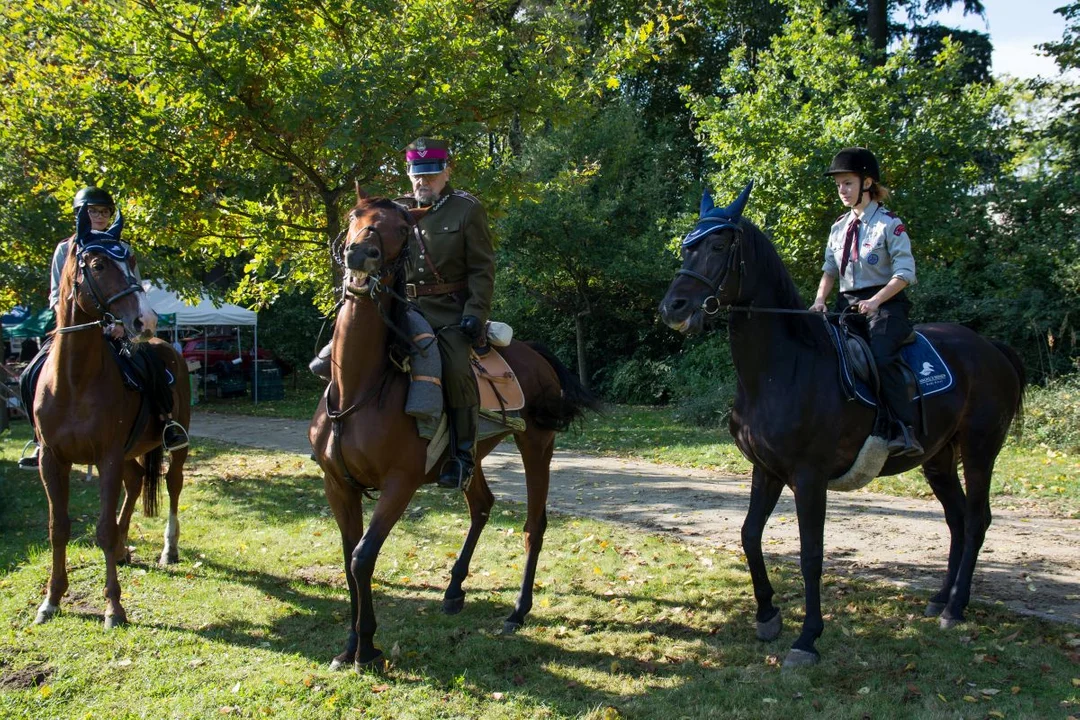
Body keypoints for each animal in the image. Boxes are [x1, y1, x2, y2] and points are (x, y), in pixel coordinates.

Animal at [31, 205, 190, 626]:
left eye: (131, 261)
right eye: (99, 264)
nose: (144, 321)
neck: (74, 381)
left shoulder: (107, 457)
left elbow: (101, 528)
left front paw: (113, 607)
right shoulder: (52, 460)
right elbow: (58, 527)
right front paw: (51, 599)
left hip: (173, 446)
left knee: (172, 484)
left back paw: (167, 549)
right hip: (130, 452)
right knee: (134, 484)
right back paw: (121, 549)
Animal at [308, 194, 600, 673]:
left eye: (401, 229)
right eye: (354, 217)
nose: (360, 254)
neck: (360, 386)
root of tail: (531, 351)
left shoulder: (400, 485)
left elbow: (362, 557)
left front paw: (367, 648)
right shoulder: (337, 485)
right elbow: (348, 557)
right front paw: (349, 645)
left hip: (537, 444)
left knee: (533, 525)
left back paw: (518, 610)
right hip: (473, 454)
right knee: (481, 504)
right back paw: (453, 590)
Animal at [652, 184, 1023, 669]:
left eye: (717, 246)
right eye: (686, 247)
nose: (672, 308)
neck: (783, 367)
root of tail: (991, 348)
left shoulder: (810, 478)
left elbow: (811, 554)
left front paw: (807, 638)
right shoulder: (766, 470)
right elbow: (750, 535)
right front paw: (767, 615)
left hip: (980, 449)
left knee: (977, 519)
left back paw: (956, 609)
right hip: (939, 458)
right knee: (957, 519)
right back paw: (941, 599)